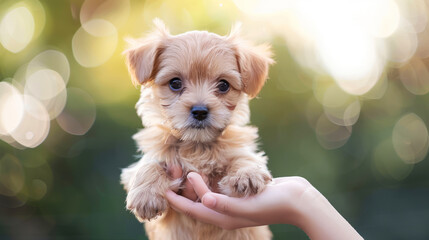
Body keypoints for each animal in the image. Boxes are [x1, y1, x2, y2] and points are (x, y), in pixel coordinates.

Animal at [119, 19, 274, 240]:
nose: (200, 111)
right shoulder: (143, 163)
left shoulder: (238, 149)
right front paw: (146, 195)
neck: (196, 146)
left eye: (224, 85)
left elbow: (244, 157)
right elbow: (149, 164)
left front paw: (247, 174)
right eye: (175, 83)